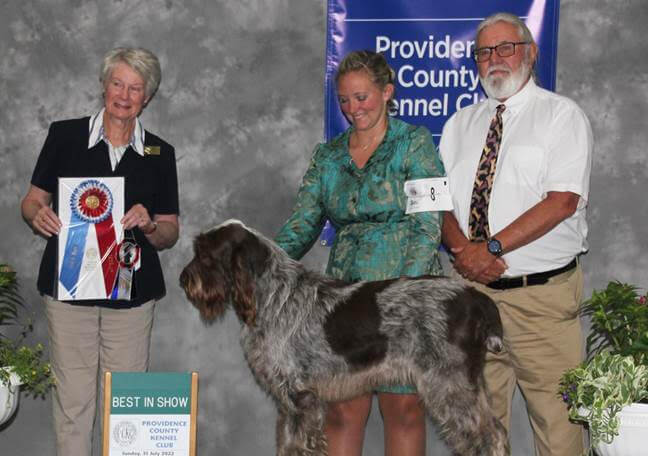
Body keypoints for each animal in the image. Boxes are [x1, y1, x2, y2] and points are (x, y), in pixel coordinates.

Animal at [180, 219, 508, 454]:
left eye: (205, 255)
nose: (183, 280)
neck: (272, 295)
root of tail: (474, 297)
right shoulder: (289, 402)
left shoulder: (299, 397)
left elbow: (297, 446)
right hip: (468, 383)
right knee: (499, 432)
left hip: (449, 385)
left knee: (488, 438)